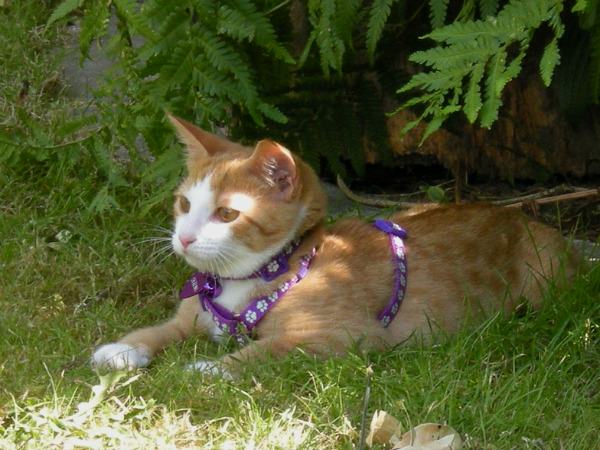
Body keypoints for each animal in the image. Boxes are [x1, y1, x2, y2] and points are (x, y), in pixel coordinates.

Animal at [91, 115, 580, 376]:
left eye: (227, 214)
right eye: (185, 203)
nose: (184, 237)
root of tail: (516, 212)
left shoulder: (345, 336)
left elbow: (268, 348)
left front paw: (213, 367)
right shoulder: (192, 316)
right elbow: (162, 329)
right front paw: (125, 347)